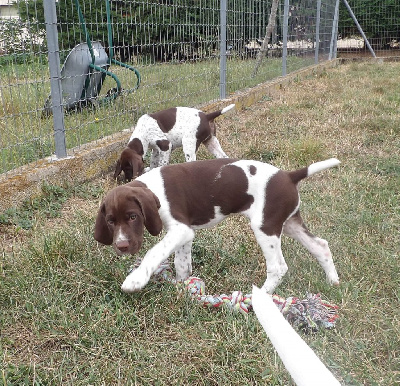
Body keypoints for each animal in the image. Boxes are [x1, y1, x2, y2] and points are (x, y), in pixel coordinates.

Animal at [94, 157, 340, 292]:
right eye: (110, 221)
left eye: (133, 217)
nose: (122, 246)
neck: (152, 188)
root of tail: (289, 176)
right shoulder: (185, 234)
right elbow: (182, 263)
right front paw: (182, 286)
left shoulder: (180, 229)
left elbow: (154, 252)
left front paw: (135, 280)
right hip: (289, 223)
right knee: (321, 246)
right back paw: (333, 282)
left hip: (265, 226)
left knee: (278, 267)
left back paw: (259, 298)